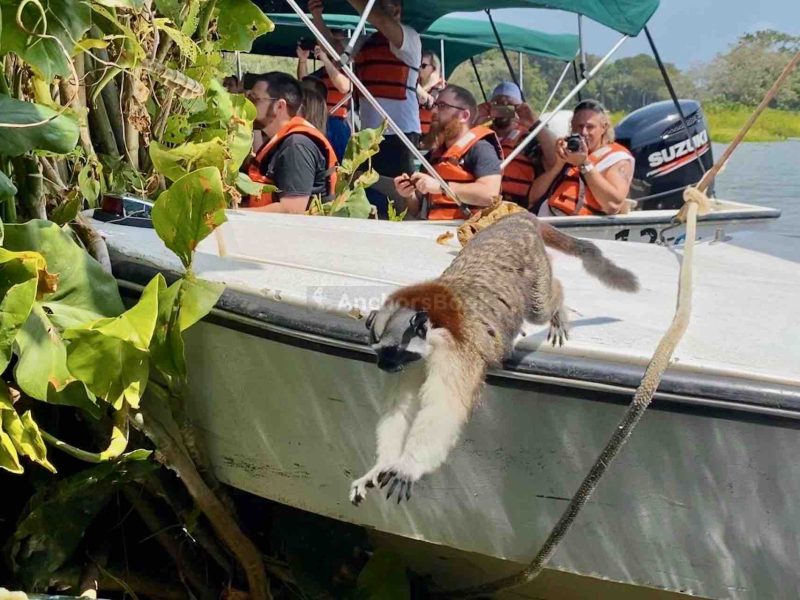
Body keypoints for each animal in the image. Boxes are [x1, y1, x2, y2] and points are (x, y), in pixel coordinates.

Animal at [349, 212, 639, 505]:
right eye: (379, 352)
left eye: (391, 351)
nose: (383, 366)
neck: (433, 326)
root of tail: (517, 217)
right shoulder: (414, 362)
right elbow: (401, 408)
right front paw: (382, 466)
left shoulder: (457, 351)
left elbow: (445, 407)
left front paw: (409, 466)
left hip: (534, 265)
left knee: (540, 306)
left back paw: (556, 305)